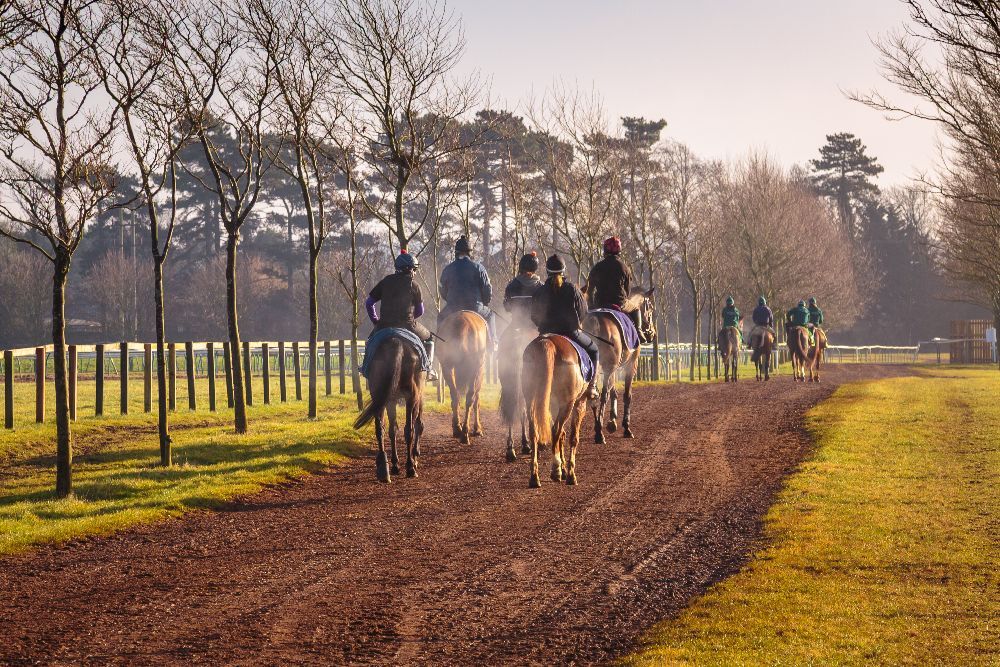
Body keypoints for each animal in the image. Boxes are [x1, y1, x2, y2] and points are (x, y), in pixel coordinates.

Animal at [354, 336, 424, 482]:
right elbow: (417, 425)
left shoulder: (390, 400)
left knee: (380, 429)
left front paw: (395, 464)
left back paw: (384, 468)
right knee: (409, 430)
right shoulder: (417, 396)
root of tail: (396, 342)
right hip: (411, 395)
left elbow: (393, 429)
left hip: (379, 395)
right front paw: (414, 458)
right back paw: (410, 467)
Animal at [438, 310, 488, 446]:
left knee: (455, 396)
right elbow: (476, 400)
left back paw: (457, 429)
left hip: (447, 367)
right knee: (470, 398)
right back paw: (465, 433)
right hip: (475, 368)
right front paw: (477, 429)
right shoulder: (480, 371)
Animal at [520, 332, 588, 486]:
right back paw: (556, 470)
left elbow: (562, 435)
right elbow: (572, 437)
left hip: (531, 398)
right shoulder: (579, 403)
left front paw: (564, 469)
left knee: (535, 432)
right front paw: (569, 474)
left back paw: (534, 477)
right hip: (567, 403)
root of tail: (547, 341)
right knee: (556, 430)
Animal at [580, 286, 656, 444]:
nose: (652, 334)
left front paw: (612, 422)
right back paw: (599, 433)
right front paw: (626, 427)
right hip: (608, 367)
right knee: (603, 395)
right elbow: (627, 394)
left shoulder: (613, 367)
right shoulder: (631, 365)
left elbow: (614, 390)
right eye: (651, 308)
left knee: (593, 394)